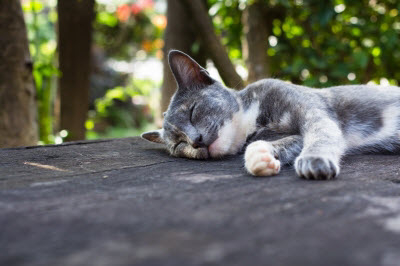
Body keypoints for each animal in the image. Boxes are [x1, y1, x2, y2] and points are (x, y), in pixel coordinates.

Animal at [142, 49, 400, 181]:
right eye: (178, 144)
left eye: (193, 111)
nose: (195, 141)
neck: (255, 119)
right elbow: (288, 141)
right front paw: (260, 158)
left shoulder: (312, 110)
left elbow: (321, 133)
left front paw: (314, 159)